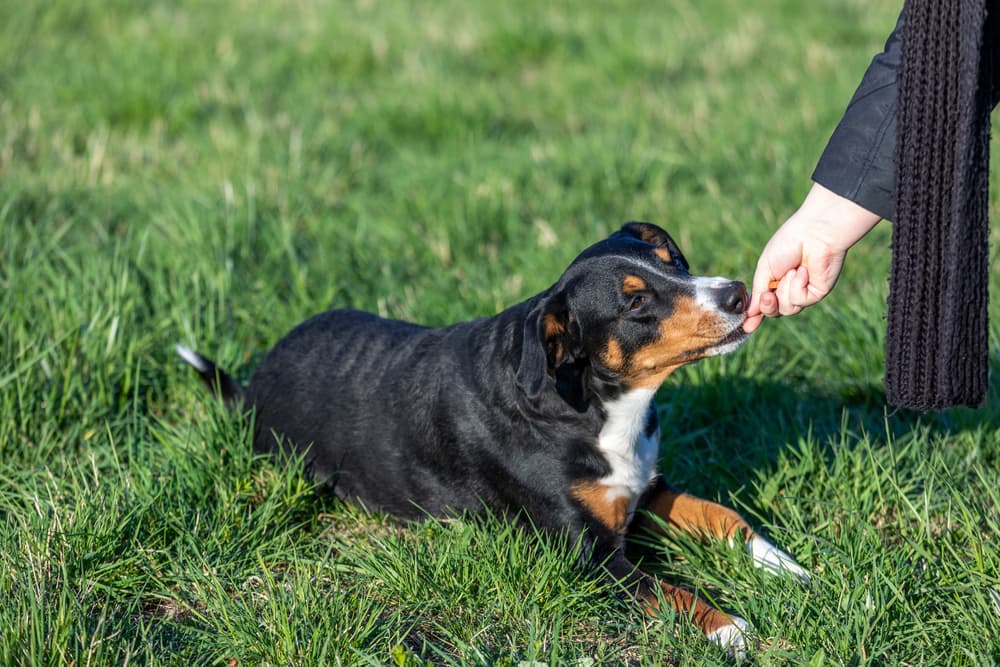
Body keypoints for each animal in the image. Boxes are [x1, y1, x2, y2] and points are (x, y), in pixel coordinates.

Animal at [178, 223, 804, 656]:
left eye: (673, 261)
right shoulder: (589, 554)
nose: (738, 292)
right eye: (634, 302)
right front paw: (728, 628)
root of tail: (255, 380)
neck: (593, 407)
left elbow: (724, 517)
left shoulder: (648, 490)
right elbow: (669, 590)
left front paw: (788, 569)